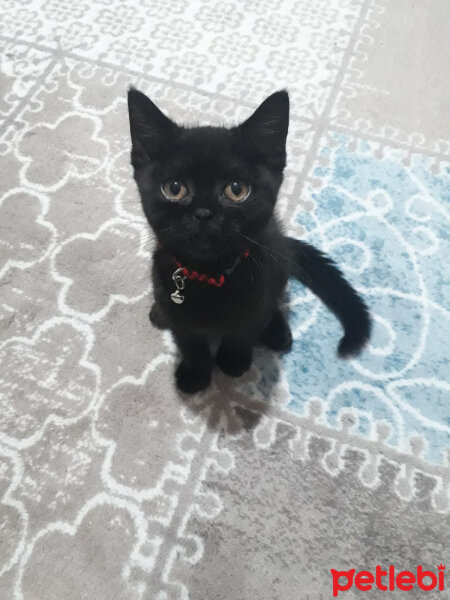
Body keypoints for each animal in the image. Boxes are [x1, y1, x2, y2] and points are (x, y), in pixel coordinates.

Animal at [128, 89, 370, 394]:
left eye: (236, 190)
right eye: (174, 188)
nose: (203, 213)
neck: (209, 277)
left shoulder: (256, 296)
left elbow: (243, 331)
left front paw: (233, 361)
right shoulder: (179, 313)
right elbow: (189, 341)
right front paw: (195, 373)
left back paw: (278, 332)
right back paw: (159, 313)